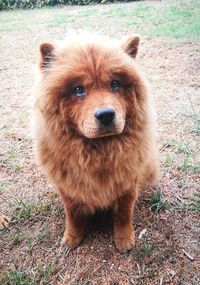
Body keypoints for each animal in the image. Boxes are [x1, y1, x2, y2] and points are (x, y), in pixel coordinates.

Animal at [32, 32, 159, 252]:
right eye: (78, 89)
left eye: (115, 84)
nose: (106, 114)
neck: (99, 153)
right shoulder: (68, 188)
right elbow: (73, 215)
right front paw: (71, 238)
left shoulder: (127, 184)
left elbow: (124, 214)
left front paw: (124, 240)